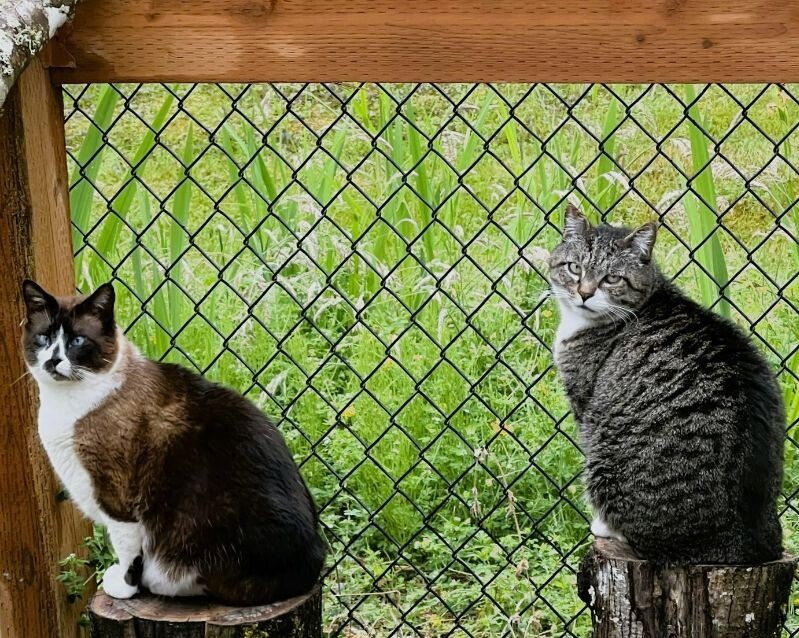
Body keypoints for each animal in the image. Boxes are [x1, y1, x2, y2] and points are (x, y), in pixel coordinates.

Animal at [22, 280, 328, 604]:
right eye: (44, 338)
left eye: (78, 341)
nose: (54, 360)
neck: (65, 403)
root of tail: (315, 560)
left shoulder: (116, 498)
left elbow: (127, 551)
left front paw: (124, 586)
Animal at [552, 206, 780, 564]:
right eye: (575, 268)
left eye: (611, 278)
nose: (584, 293)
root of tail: (747, 544)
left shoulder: (585, 408)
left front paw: (602, 524)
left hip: (607, 460)